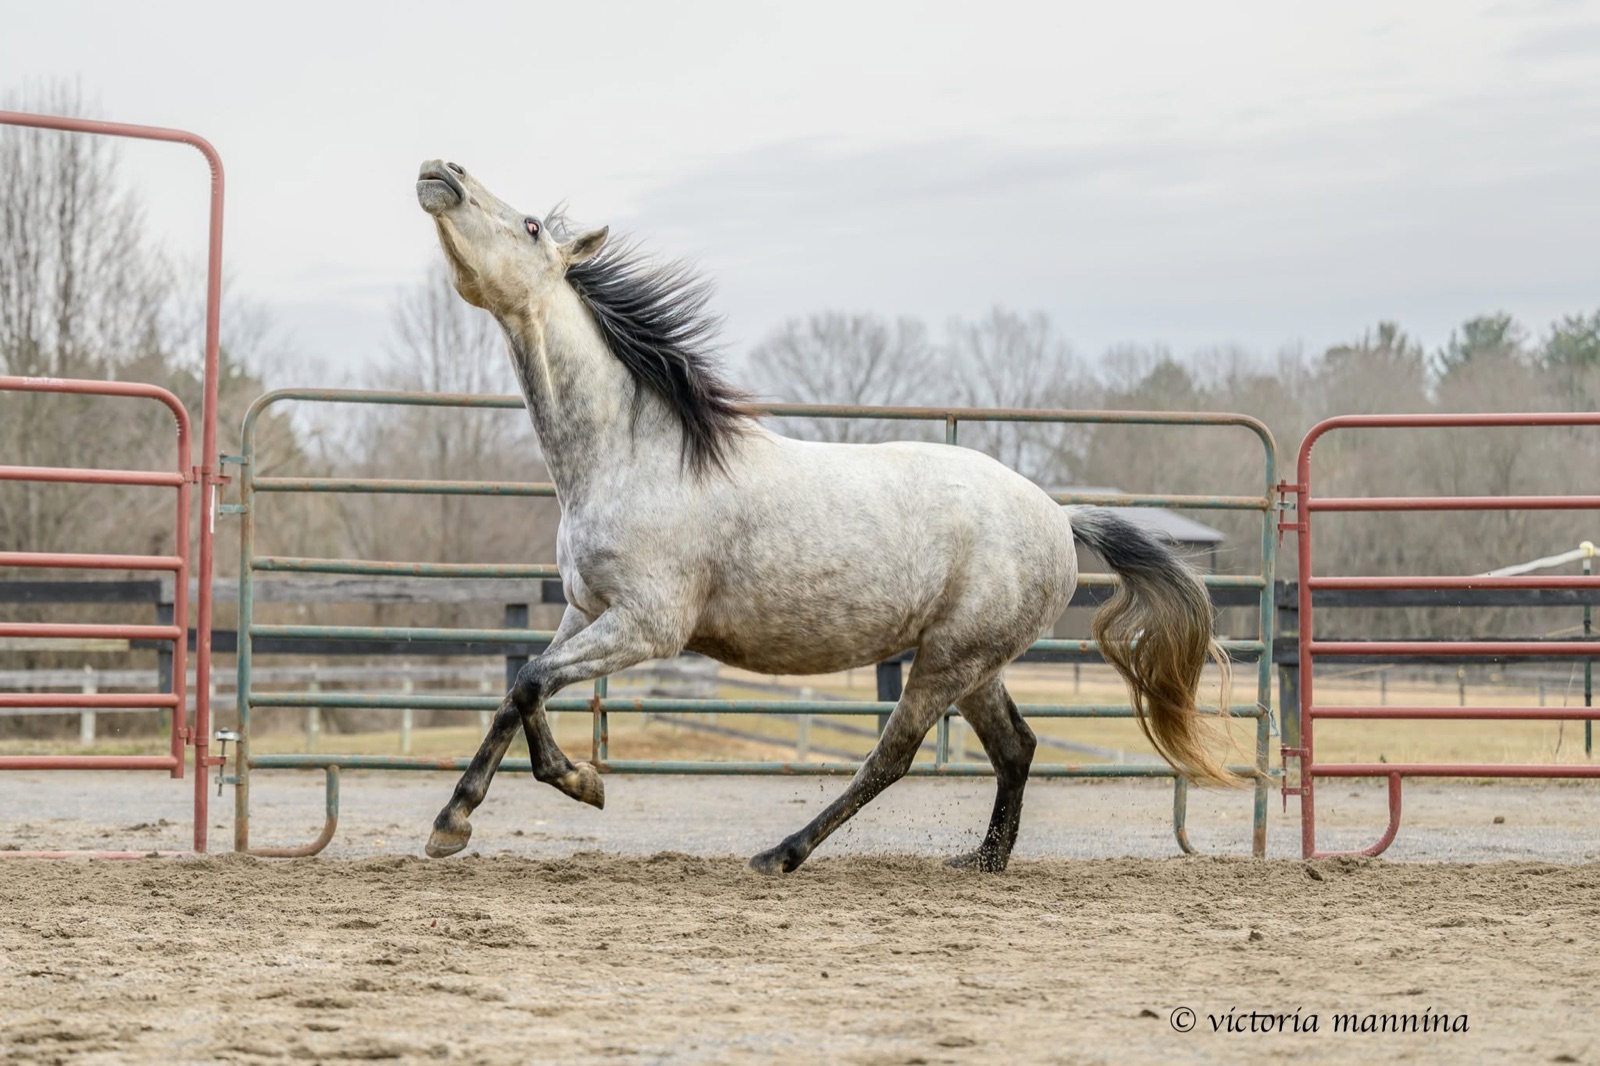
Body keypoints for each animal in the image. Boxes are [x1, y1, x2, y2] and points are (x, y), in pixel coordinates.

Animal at [413, 159, 1235, 874]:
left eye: (528, 225)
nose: (440, 172)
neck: (633, 453)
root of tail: (1060, 520)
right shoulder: (585, 611)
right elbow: (520, 692)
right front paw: (482, 811)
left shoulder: (647, 625)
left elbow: (528, 684)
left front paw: (543, 795)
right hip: (975, 665)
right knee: (1018, 748)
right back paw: (982, 861)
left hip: (948, 661)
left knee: (893, 756)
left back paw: (782, 853)